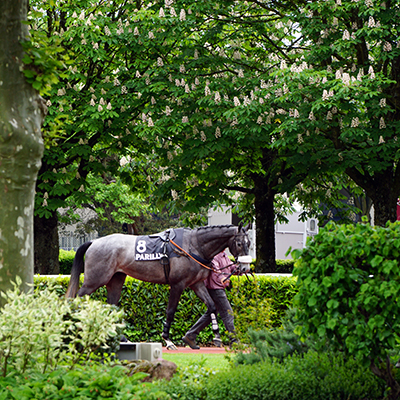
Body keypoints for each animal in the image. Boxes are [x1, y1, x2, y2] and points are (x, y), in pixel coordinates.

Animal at [67, 223, 252, 348]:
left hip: (116, 280)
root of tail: (93, 242)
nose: (245, 268)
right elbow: (170, 311)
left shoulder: (196, 284)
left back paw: (120, 338)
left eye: (249, 243)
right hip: (94, 281)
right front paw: (167, 339)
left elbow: (212, 306)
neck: (193, 245)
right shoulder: (177, 284)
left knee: (110, 307)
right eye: (240, 243)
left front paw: (213, 337)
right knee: (76, 300)